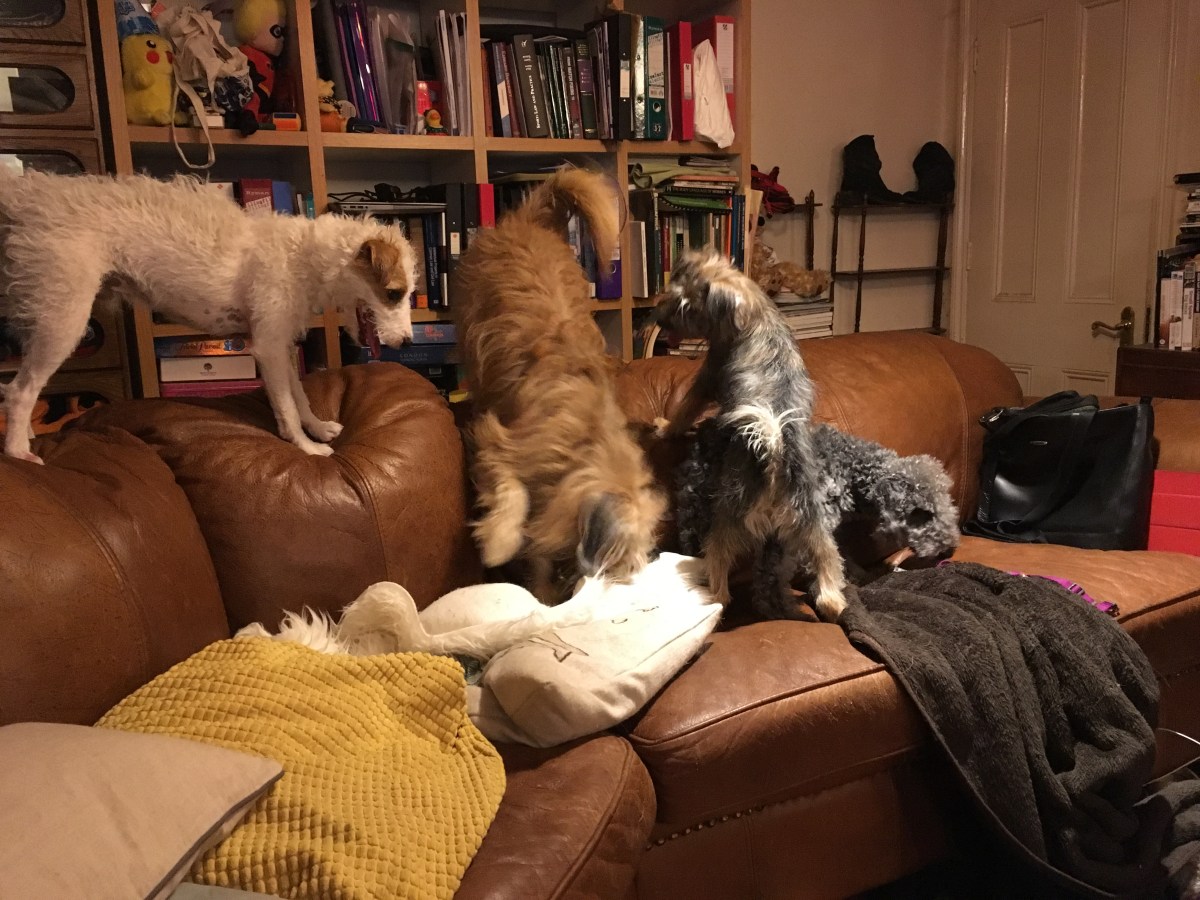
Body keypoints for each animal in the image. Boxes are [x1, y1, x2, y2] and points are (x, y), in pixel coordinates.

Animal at [0, 171, 417, 462]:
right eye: (394, 294)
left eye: (409, 294)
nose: (408, 342)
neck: (304, 256)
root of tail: (28, 199)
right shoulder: (268, 348)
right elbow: (286, 406)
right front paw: (304, 446)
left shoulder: (280, 344)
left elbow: (298, 395)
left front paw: (317, 427)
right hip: (63, 320)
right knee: (20, 390)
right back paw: (19, 451)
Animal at [649, 248, 848, 621]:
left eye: (687, 307)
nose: (660, 321)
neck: (753, 305)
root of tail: (774, 456)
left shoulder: (708, 375)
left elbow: (685, 409)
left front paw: (665, 427)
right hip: (814, 526)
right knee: (828, 571)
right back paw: (834, 604)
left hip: (728, 519)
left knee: (719, 567)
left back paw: (713, 596)